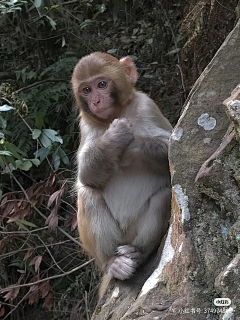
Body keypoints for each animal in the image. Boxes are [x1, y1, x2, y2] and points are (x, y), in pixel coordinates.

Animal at [71, 52, 172, 288]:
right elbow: (86, 174)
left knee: (164, 196)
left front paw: (130, 149)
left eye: (101, 84)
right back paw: (114, 263)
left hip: (133, 232)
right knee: (88, 195)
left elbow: (170, 147)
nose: (96, 101)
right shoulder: (86, 125)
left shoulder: (147, 106)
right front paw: (114, 139)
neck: (116, 113)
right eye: (86, 90)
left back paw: (138, 253)